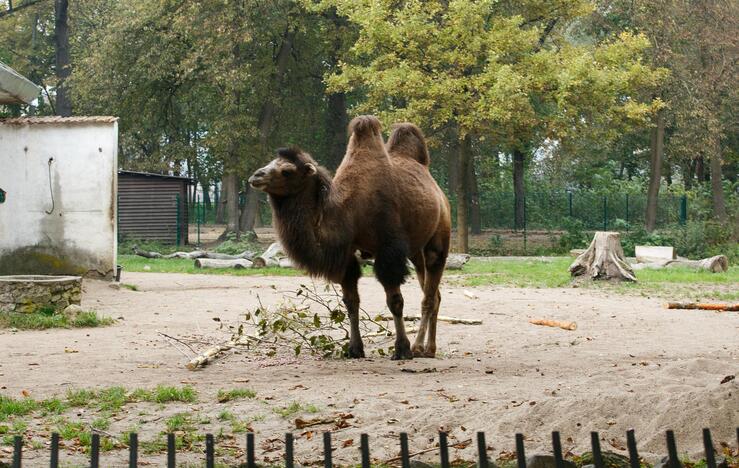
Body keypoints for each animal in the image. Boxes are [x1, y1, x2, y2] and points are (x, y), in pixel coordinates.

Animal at [249, 116, 450, 358]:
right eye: (271, 162)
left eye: (287, 171)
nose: (256, 176)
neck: (350, 212)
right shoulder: (346, 254)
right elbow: (351, 301)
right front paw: (354, 349)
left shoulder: (389, 249)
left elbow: (395, 301)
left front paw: (402, 349)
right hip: (415, 251)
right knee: (435, 295)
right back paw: (429, 348)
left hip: (438, 238)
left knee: (428, 295)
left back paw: (419, 347)